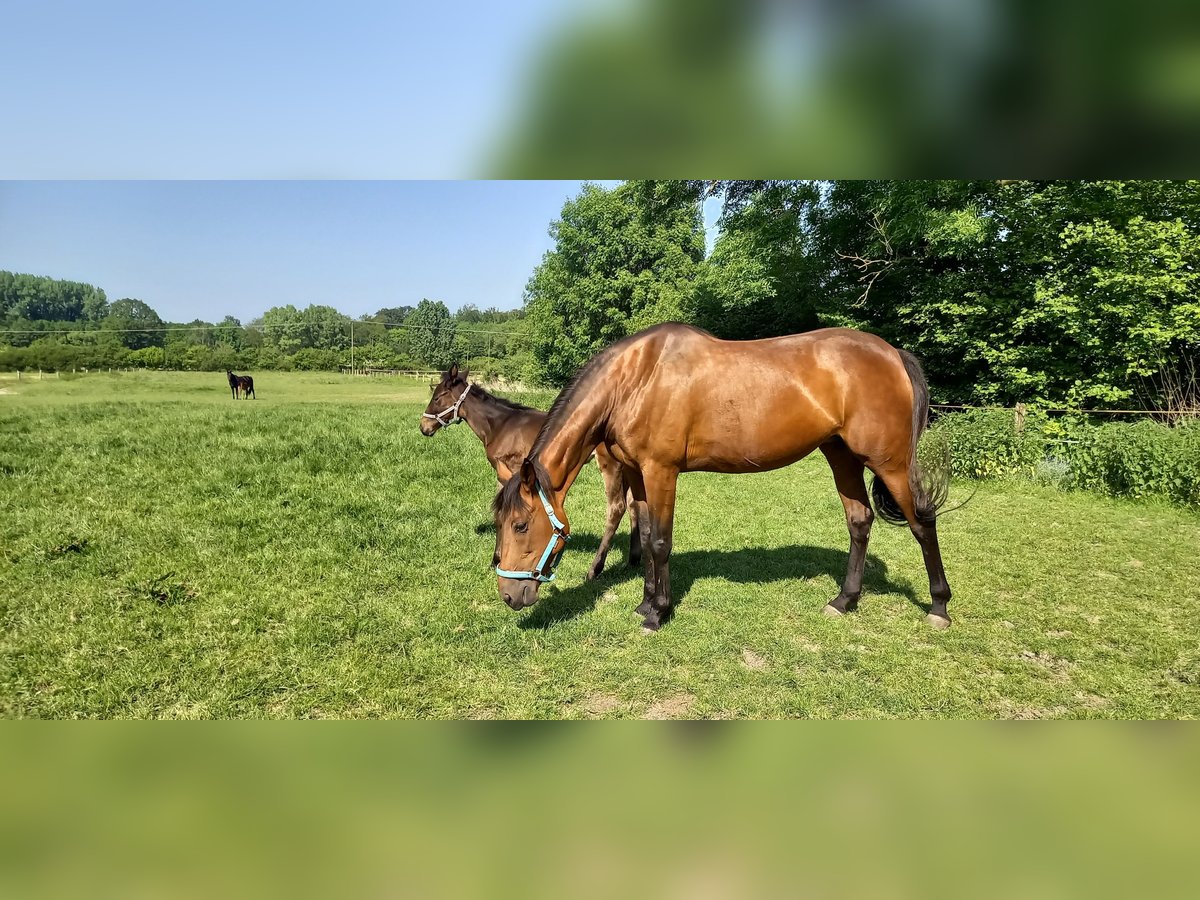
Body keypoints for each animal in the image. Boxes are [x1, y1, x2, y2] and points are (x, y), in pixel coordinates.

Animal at [422, 367, 643, 585]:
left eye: (437, 397)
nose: (423, 427)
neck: (500, 426)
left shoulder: (509, 471)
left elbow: (500, 515)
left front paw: (496, 560)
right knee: (634, 504)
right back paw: (632, 560)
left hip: (611, 465)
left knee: (617, 507)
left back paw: (594, 570)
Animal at [492, 324, 950, 633]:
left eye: (521, 524)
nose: (509, 595)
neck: (636, 378)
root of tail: (893, 354)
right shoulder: (638, 474)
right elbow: (644, 533)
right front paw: (645, 604)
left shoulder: (661, 471)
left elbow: (660, 542)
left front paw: (658, 613)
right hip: (842, 456)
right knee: (860, 521)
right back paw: (844, 600)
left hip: (889, 462)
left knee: (922, 523)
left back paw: (939, 608)